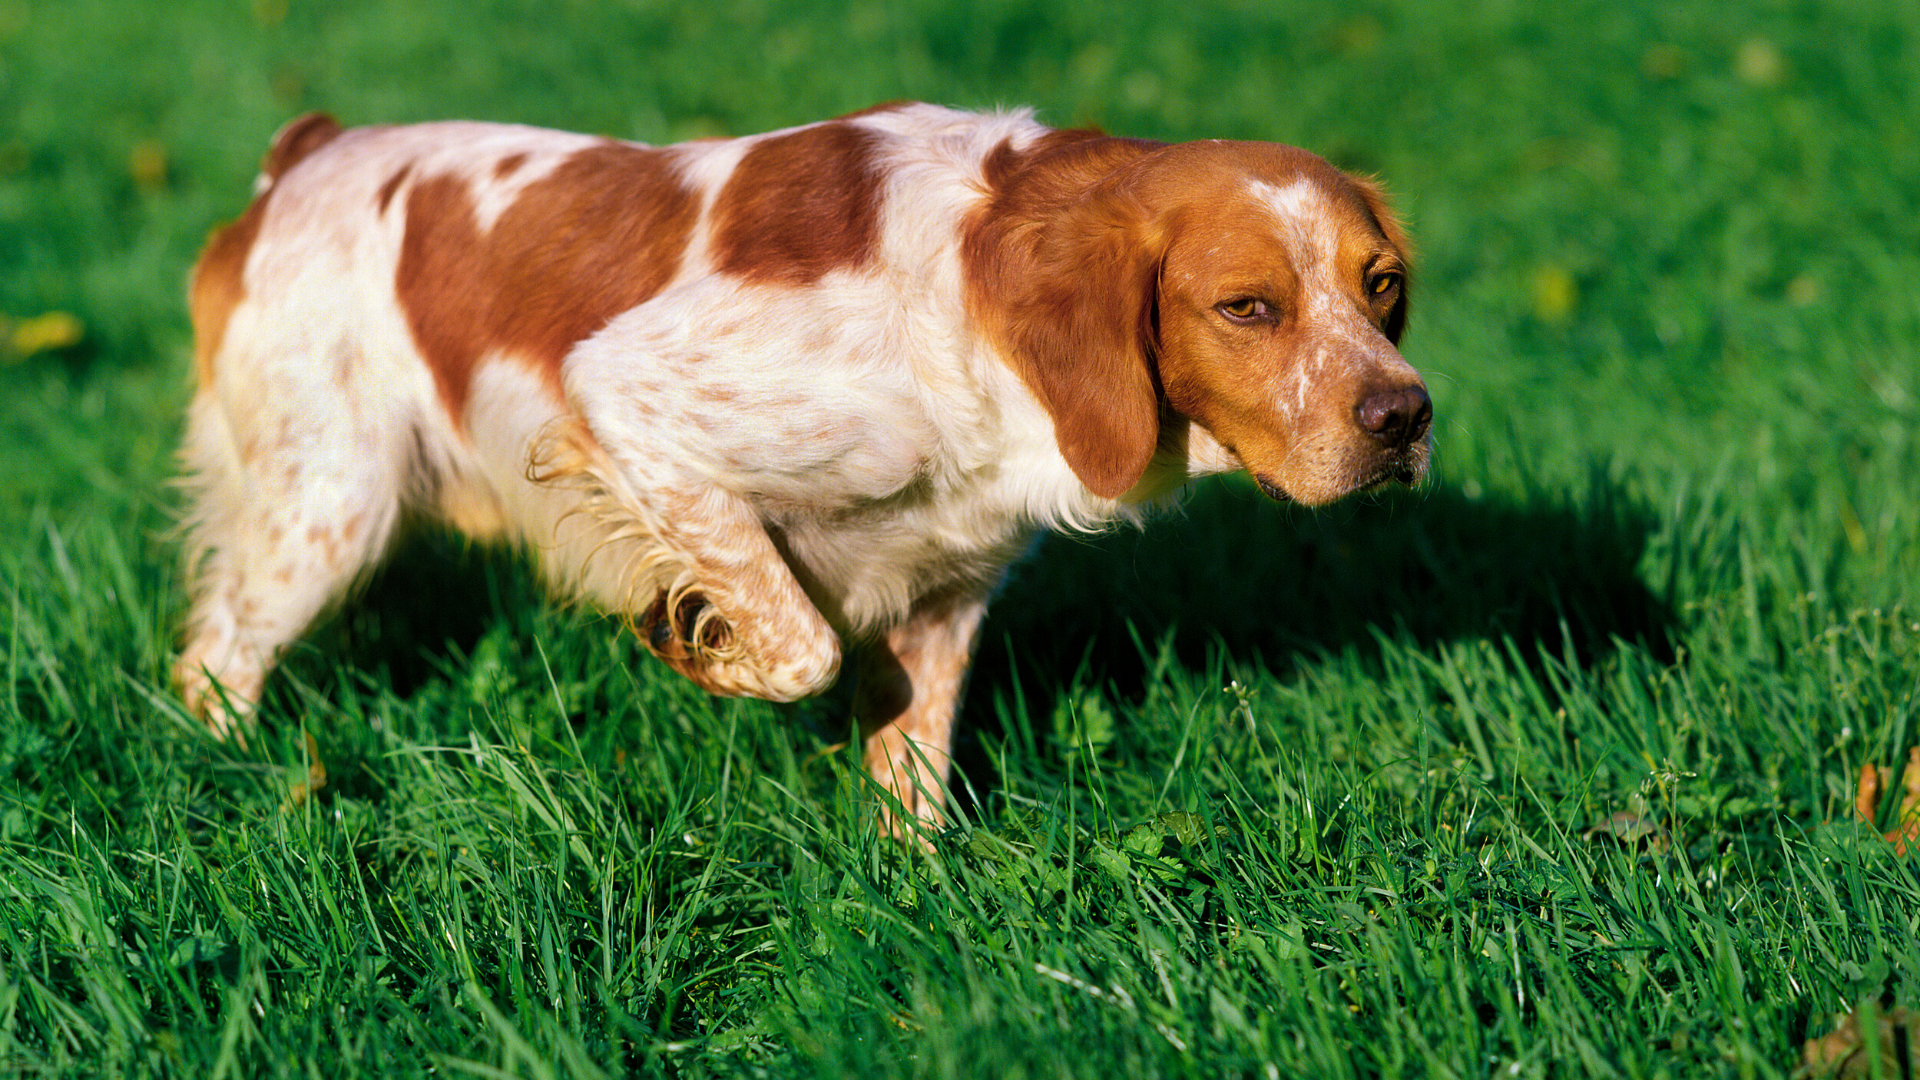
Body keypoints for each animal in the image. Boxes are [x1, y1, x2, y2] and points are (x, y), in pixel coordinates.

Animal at [176, 100, 1428, 826]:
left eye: (1381, 286)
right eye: (1247, 306)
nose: (1407, 417)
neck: (967, 302)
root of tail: (309, 151)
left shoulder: (946, 590)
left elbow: (911, 780)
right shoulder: (627, 391)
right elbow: (800, 646)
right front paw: (693, 638)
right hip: (327, 508)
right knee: (212, 662)